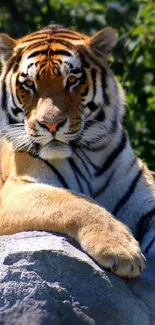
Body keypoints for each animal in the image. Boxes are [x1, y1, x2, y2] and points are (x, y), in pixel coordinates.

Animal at [0, 25, 154, 278]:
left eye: (72, 80)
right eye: (29, 84)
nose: (50, 124)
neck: (92, 153)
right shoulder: (15, 189)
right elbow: (72, 201)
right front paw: (122, 250)